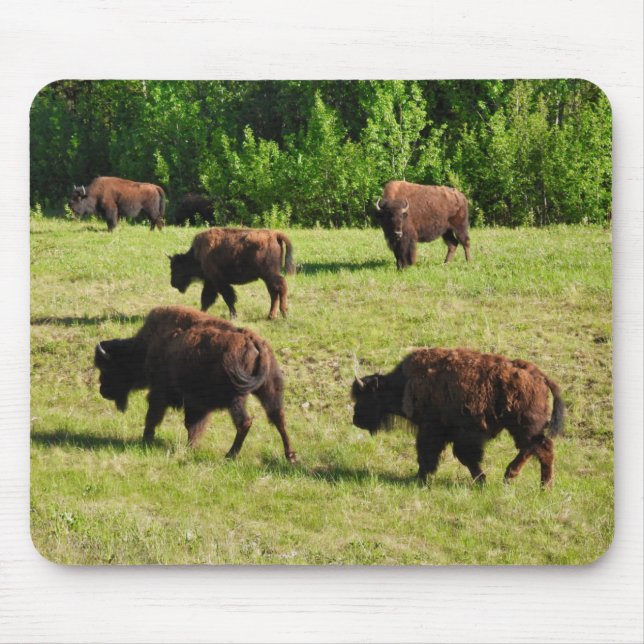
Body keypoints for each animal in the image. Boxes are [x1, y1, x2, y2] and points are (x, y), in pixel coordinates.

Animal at [93, 306, 297, 462]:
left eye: (108, 368)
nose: (102, 390)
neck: (146, 346)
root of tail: (252, 340)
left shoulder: (161, 393)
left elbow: (155, 417)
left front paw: (147, 440)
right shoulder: (195, 403)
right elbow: (193, 425)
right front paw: (191, 446)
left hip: (236, 398)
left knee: (245, 422)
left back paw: (230, 455)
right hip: (269, 389)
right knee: (278, 418)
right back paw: (291, 456)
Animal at [351, 348, 565, 487]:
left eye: (366, 397)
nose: (355, 420)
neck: (405, 383)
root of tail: (539, 375)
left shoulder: (434, 430)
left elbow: (431, 455)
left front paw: (421, 479)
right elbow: (463, 457)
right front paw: (481, 480)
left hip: (524, 426)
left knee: (542, 448)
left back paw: (540, 486)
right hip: (523, 428)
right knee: (533, 448)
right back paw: (515, 477)